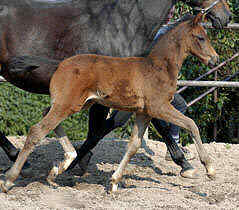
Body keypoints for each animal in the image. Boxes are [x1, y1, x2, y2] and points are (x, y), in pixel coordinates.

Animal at [0, 0, 232, 179]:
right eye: (200, 38)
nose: (227, 16)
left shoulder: (139, 101)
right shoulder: (133, 100)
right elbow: (102, 129)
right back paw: (19, 164)